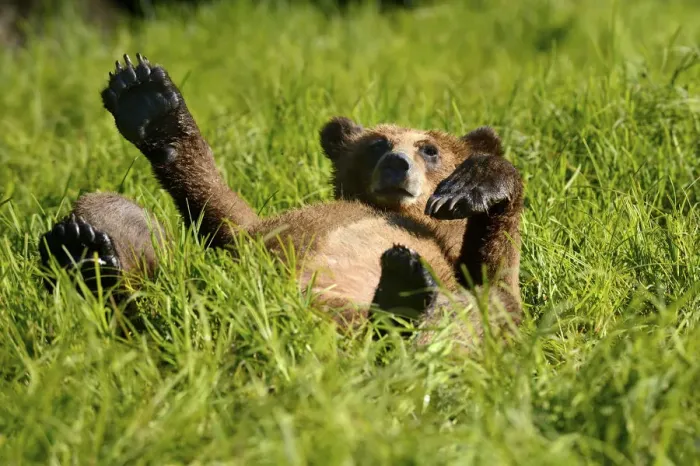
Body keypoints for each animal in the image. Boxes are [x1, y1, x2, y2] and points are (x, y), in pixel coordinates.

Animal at [38, 54, 524, 345]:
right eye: (376, 143)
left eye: (430, 149)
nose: (396, 163)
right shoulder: (266, 229)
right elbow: (224, 213)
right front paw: (148, 102)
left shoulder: (456, 260)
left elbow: (497, 283)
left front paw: (476, 185)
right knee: (118, 217)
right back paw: (85, 257)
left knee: (458, 312)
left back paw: (400, 295)